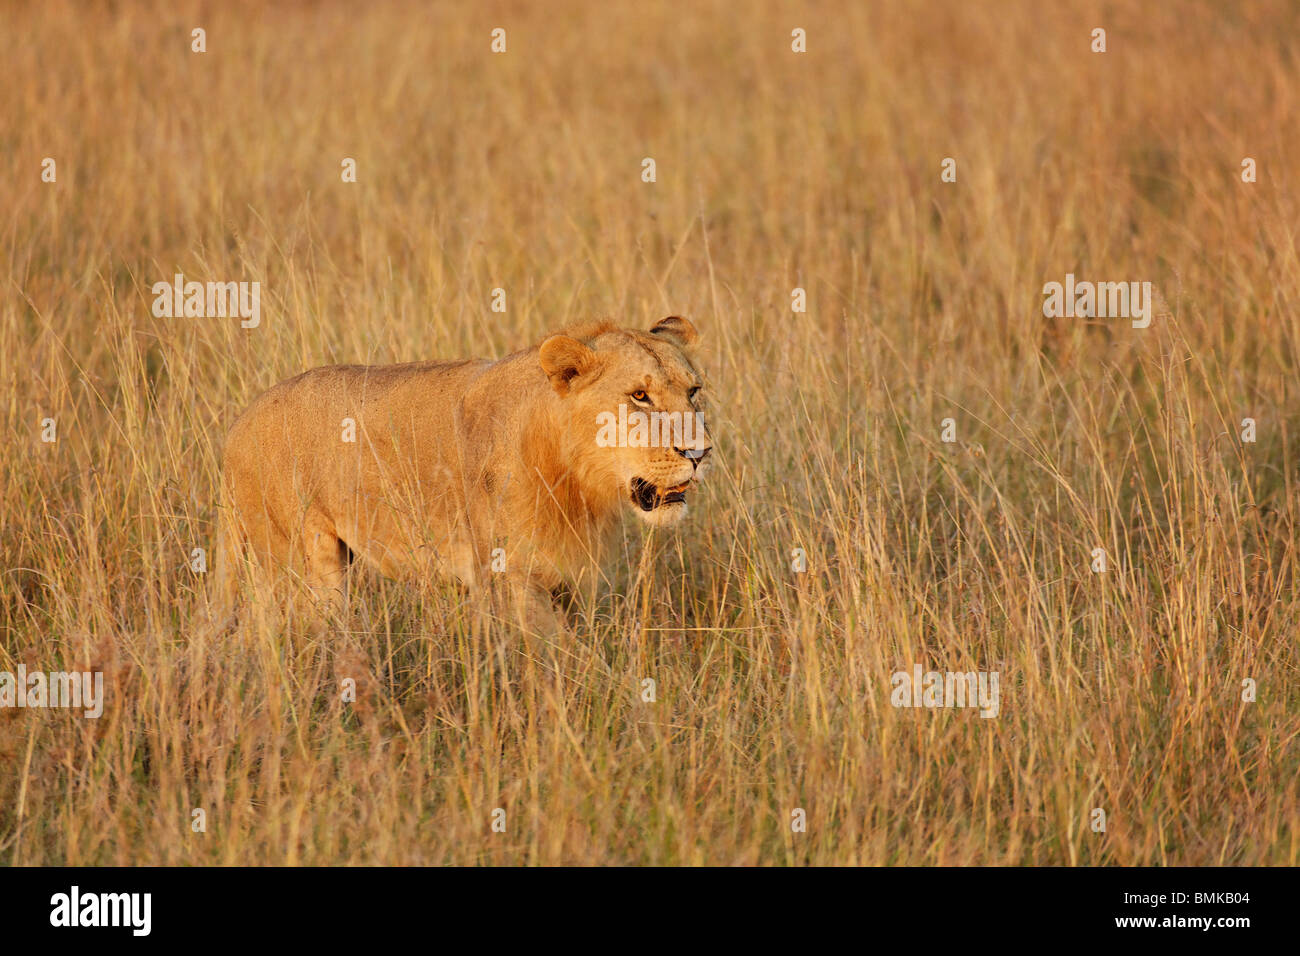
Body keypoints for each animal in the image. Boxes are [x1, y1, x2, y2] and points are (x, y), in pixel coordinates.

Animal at [214, 315, 713, 627]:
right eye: (640, 397)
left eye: (693, 392)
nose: (701, 452)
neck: (574, 478)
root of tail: (238, 425)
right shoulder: (508, 577)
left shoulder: (561, 581)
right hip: (298, 562)